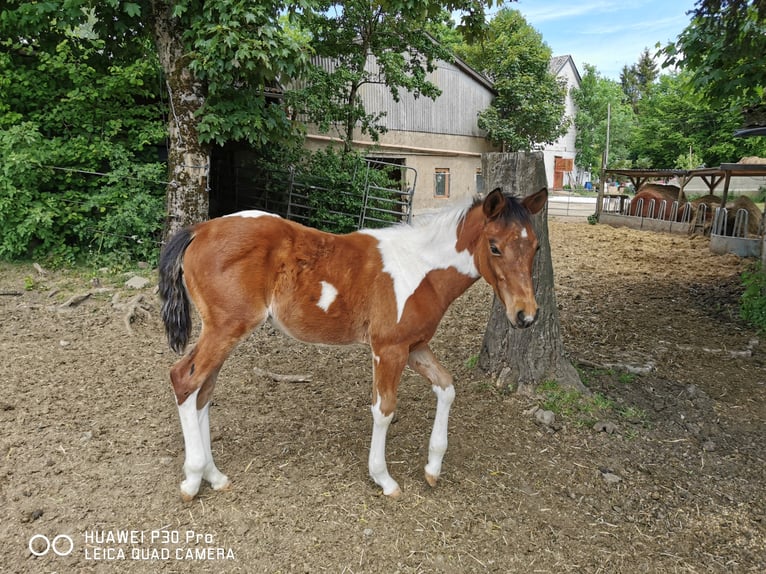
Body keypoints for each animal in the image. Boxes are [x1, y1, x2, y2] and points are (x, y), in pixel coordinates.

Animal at [158, 187, 548, 501]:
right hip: (225, 329)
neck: (420, 270)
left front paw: (433, 468)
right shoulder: (388, 349)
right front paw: (384, 479)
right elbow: (384, 409)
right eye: (494, 246)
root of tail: (200, 229)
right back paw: (192, 479)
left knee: (202, 393)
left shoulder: (415, 346)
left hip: (224, 332)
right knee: (183, 379)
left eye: (536, 246)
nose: (526, 315)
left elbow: (447, 387)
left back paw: (215, 476)